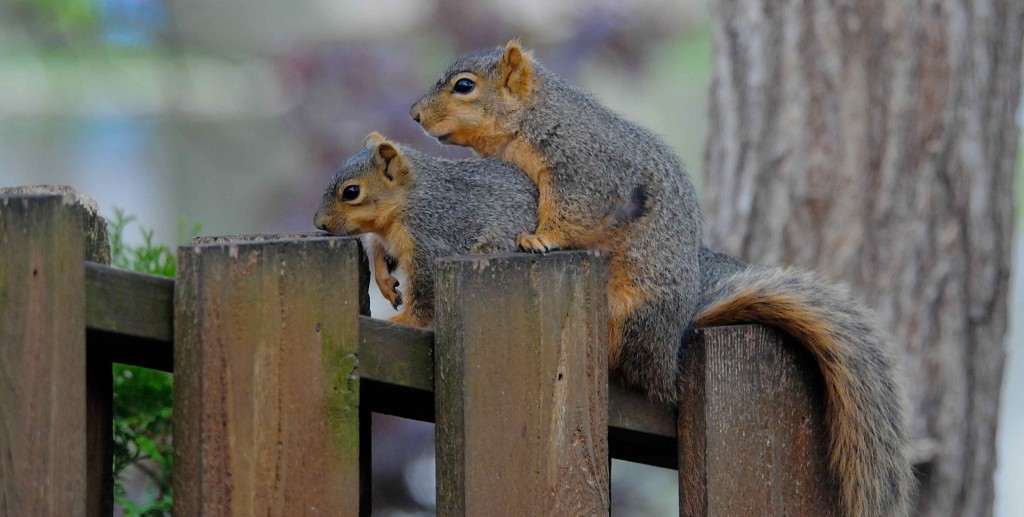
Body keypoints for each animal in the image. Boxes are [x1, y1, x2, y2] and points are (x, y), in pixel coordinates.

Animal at [309, 133, 536, 325]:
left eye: (352, 192)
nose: (319, 223)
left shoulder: (430, 238)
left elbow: (424, 292)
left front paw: (406, 320)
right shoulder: (386, 239)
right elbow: (380, 255)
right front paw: (384, 282)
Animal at [411, 42, 909, 515]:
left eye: (463, 86)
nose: (415, 115)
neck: (533, 117)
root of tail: (671, 354)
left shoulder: (586, 169)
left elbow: (574, 210)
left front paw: (539, 238)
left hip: (634, 313)